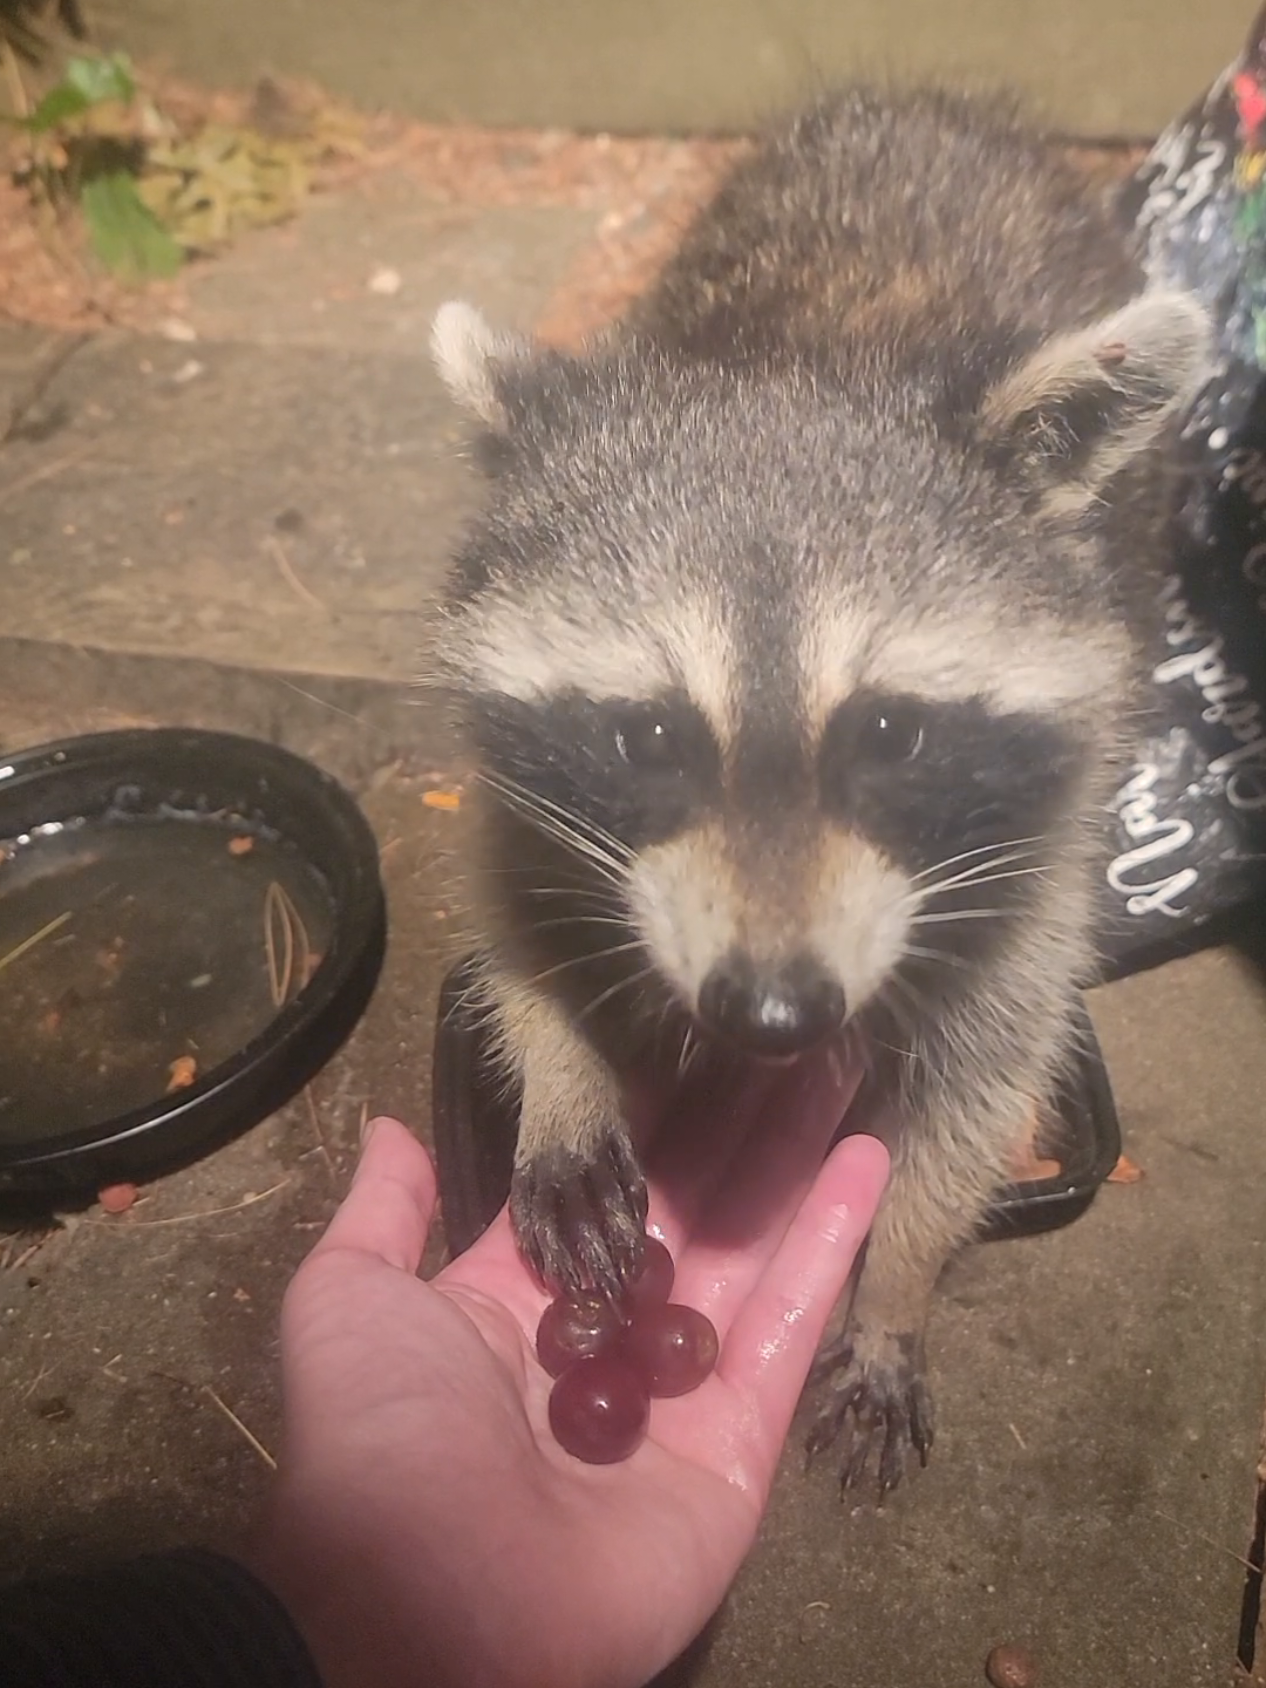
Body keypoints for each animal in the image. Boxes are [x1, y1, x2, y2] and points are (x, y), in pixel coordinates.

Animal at [428, 87, 1210, 1492]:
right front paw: (561, 1071)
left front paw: (895, 1279)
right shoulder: (529, 774)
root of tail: (929, 103)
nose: (775, 1012)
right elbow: (514, 901)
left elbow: (982, 1070)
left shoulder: (1044, 827)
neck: (802, 353)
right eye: (650, 734)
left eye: (890, 730)